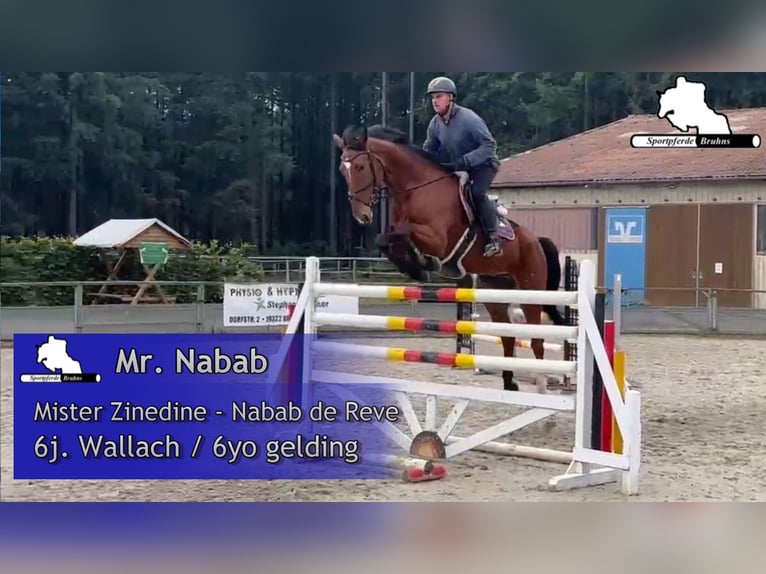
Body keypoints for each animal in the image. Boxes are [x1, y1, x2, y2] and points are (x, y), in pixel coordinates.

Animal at [332, 124, 568, 393]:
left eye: (360, 167)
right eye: (342, 169)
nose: (361, 215)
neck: (418, 188)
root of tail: (536, 240)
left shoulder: (436, 238)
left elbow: (404, 233)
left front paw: (426, 265)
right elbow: (386, 240)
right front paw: (416, 267)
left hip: (532, 291)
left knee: (537, 340)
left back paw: (541, 387)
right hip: (495, 293)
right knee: (507, 336)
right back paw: (510, 384)